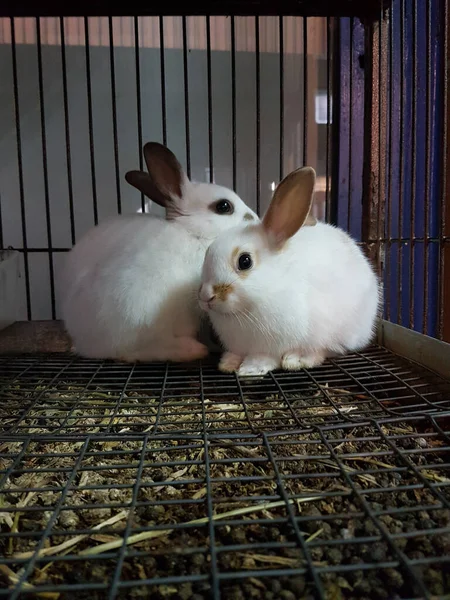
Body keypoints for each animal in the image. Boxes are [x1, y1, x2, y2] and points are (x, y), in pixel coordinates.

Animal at [58, 143, 258, 364]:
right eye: (224, 206)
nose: (255, 218)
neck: (194, 233)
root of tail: (85, 344)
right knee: (136, 350)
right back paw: (192, 350)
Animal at [198, 164, 380, 378]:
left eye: (245, 261)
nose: (205, 297)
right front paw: (229, 363)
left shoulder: (273, 345)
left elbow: (265, 358)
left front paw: (251, 369)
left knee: (325, 350)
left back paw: (297, 359)